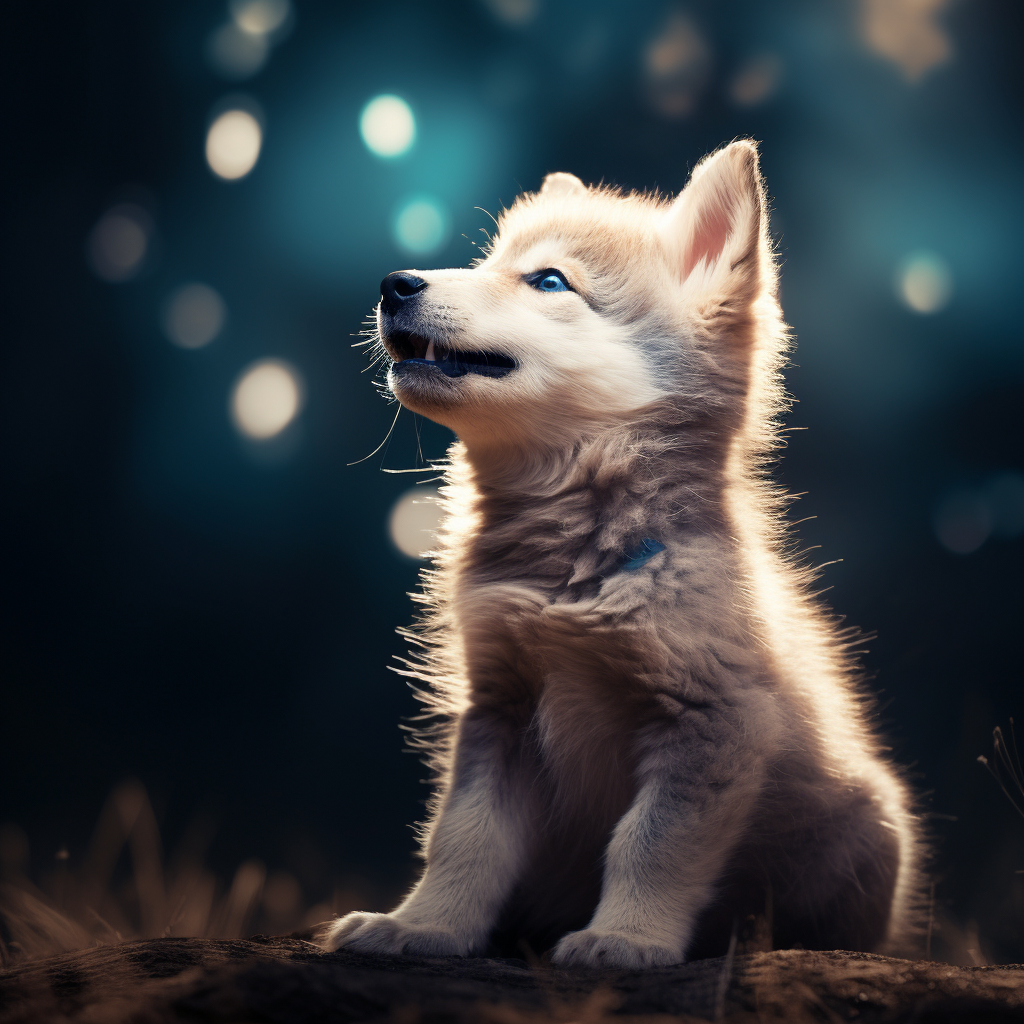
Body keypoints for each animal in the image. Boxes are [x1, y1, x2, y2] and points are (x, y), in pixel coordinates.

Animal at [323, 138, 925, 966]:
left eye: (548, 280)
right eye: (488, 261)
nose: (394, 284)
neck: (571, 569)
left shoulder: (712, 724)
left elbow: (649, 845)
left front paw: (626, 937)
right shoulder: (499, 711)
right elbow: (463, 840)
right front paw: (424, 926)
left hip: (873, 829)